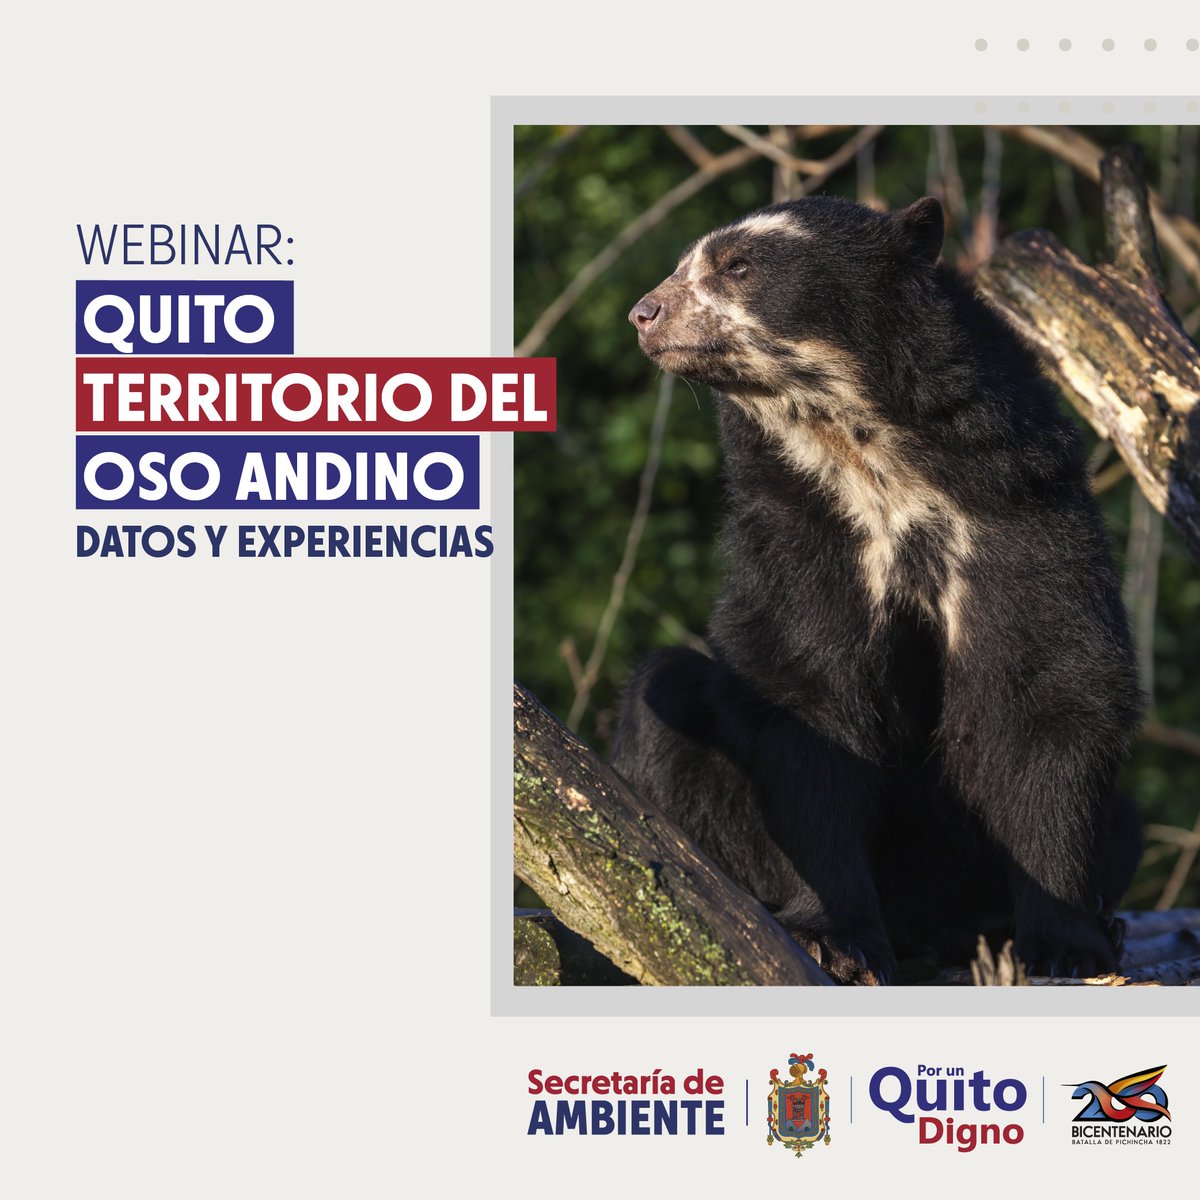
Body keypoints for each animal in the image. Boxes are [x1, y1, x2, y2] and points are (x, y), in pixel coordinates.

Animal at [611, 195, 1143, 984]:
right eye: (684, 266)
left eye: (739, 267)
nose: (644, 313)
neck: (862, 446)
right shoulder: (804, 532)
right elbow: (808, 697)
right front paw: (833, 938)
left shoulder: (1014, 508)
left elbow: (1044, 692)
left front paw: (1065, 945)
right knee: (666, 690)